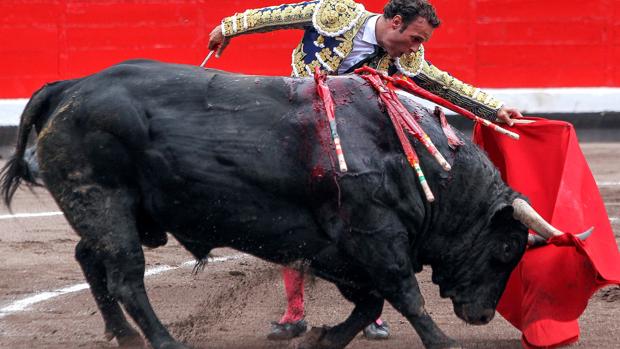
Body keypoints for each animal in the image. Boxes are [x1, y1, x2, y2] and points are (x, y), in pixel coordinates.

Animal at [0, 60, 580, 348]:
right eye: (505, 250)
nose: (481, 316)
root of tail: (68, 88)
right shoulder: (375, 237)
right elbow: (405, 295)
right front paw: (443, 343)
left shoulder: (341, 251)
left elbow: (370, 302)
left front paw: (323, 337)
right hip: (104, 200)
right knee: (125, 276)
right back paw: (162, 341)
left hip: (109, 211)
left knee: (89, 259)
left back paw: (123, 336)